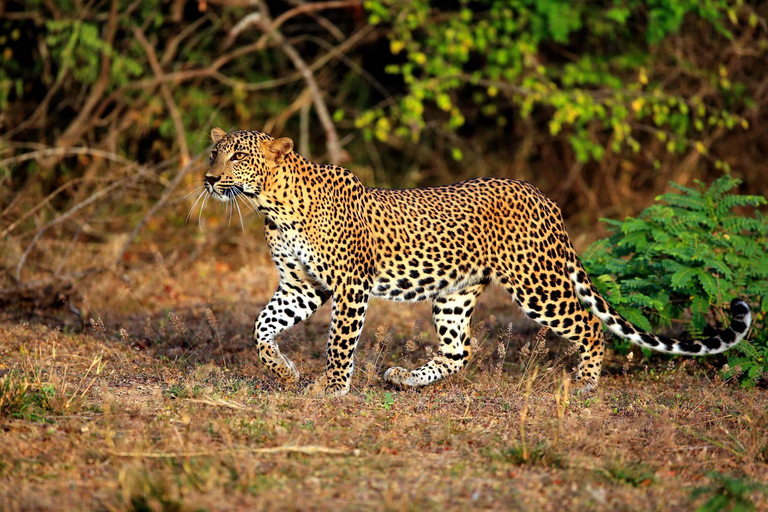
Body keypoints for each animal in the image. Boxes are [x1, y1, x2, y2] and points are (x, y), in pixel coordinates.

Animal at [201, 127, 752, 396]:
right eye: (212, 153)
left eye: (238, 156)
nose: (208, 179)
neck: (271, 205)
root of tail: (543, 197)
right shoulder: (302, 286)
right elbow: (260, 328)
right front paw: (284, 372)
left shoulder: (350, 286)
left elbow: (339, 343)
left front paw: (330, 389)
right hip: (454, 291)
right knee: (460, 351)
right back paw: (406, 379)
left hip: (537, 284)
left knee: (590, 326)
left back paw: (586, 384)